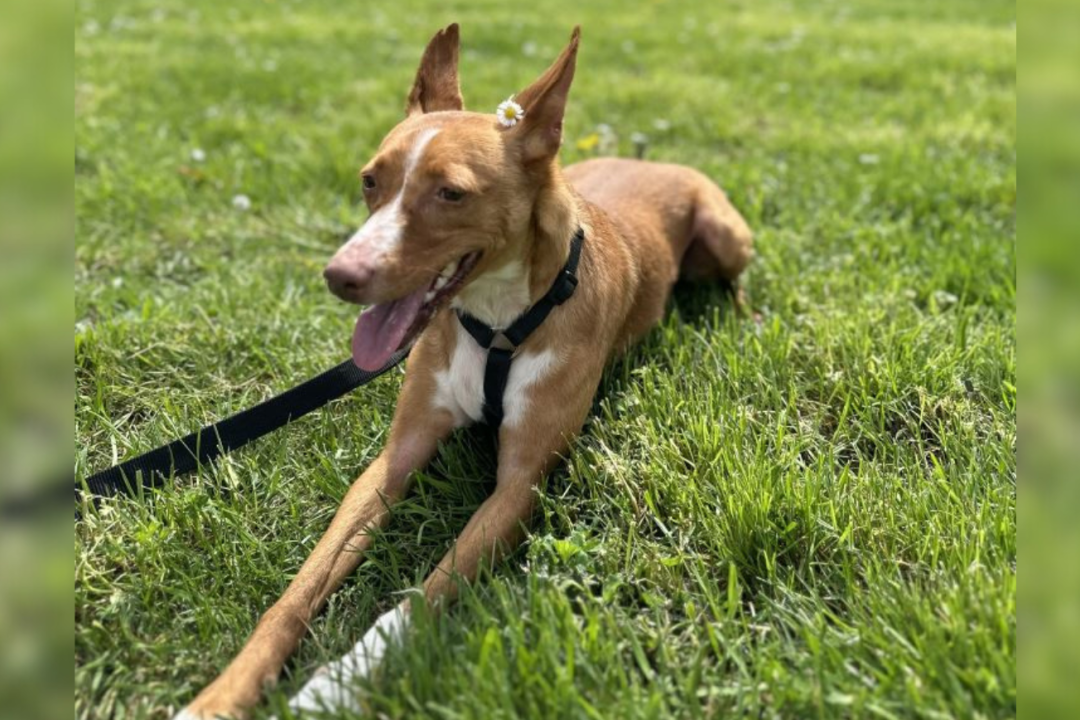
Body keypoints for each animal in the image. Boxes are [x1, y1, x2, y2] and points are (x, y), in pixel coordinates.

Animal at [177, 23, 751, 720]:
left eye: (450, 193)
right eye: (370, 181)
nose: (340, 276)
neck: (498, 324)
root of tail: (647, 157)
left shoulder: (521, 485)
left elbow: (417, 600)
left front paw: (332, 688)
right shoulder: (394, 459)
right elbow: (295, 595)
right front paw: (222, 694)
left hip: (725, 236)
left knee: (736, 279)